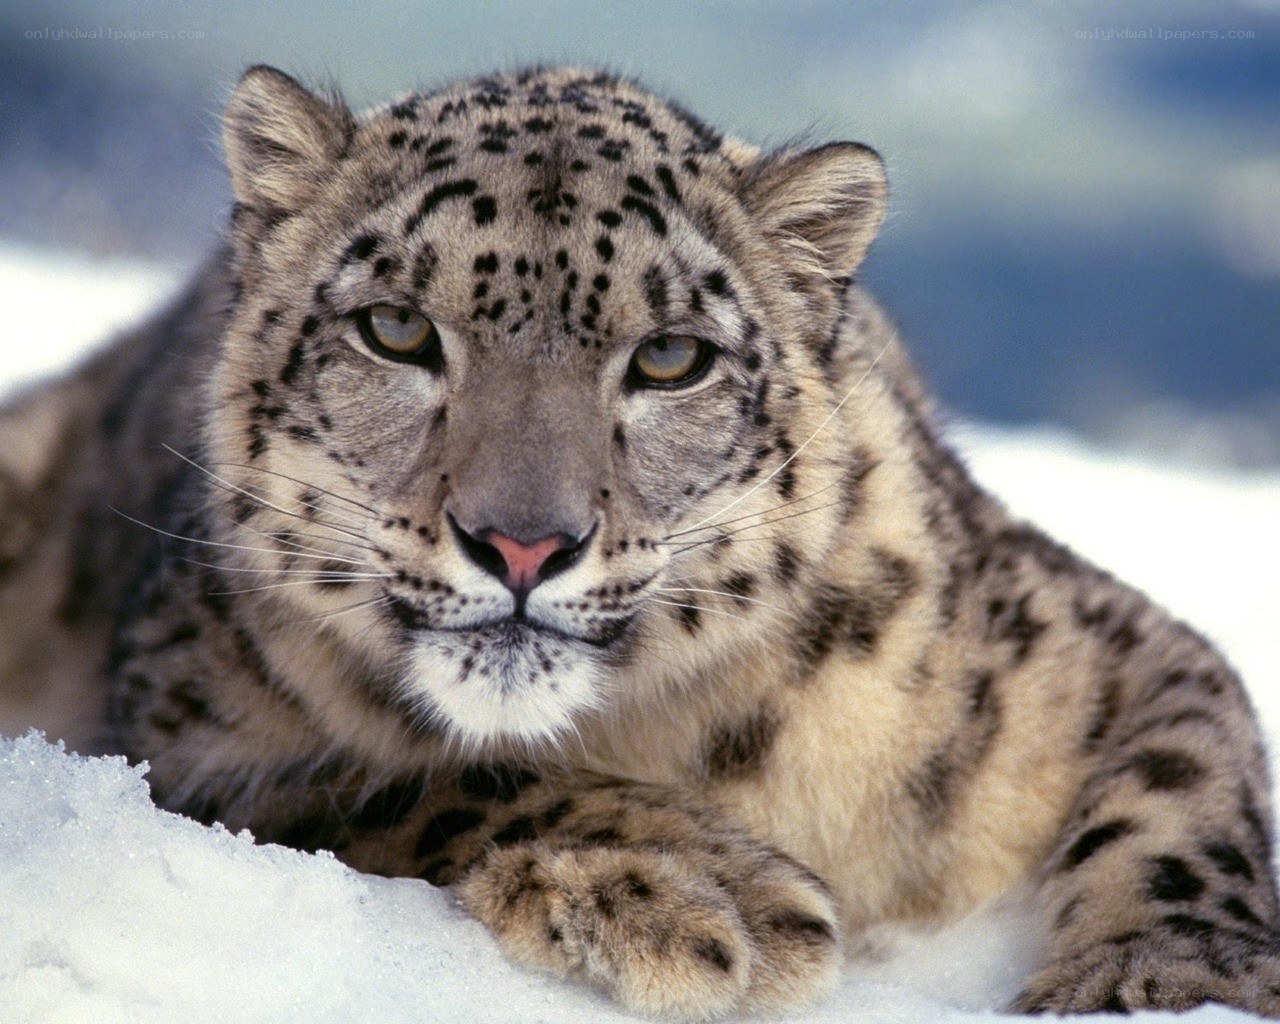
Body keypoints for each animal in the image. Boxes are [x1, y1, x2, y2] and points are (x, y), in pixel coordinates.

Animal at [2, 64, 1278, 1019]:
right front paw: (703, 890)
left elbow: (1183, 788)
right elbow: (411, 775)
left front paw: (1162, 979)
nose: (521, 544)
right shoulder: (185, 729)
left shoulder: (1094, 646)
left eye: (670, 356)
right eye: (396, 329)